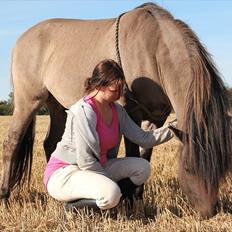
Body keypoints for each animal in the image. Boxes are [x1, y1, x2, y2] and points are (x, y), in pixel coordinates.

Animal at [0, 2, 231, 218]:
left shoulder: (156, 117)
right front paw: (128, 202)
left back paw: (55, 197)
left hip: (55, 105)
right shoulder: (131, 112)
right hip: (27, 101)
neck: (154, 47)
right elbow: (133, 151)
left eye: (222, 169)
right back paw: (5, 197)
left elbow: (145, 154)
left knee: (51, 143)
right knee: (12, 142)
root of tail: (22, 38)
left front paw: (138, 200)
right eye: (188, 168)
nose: (208, 212)